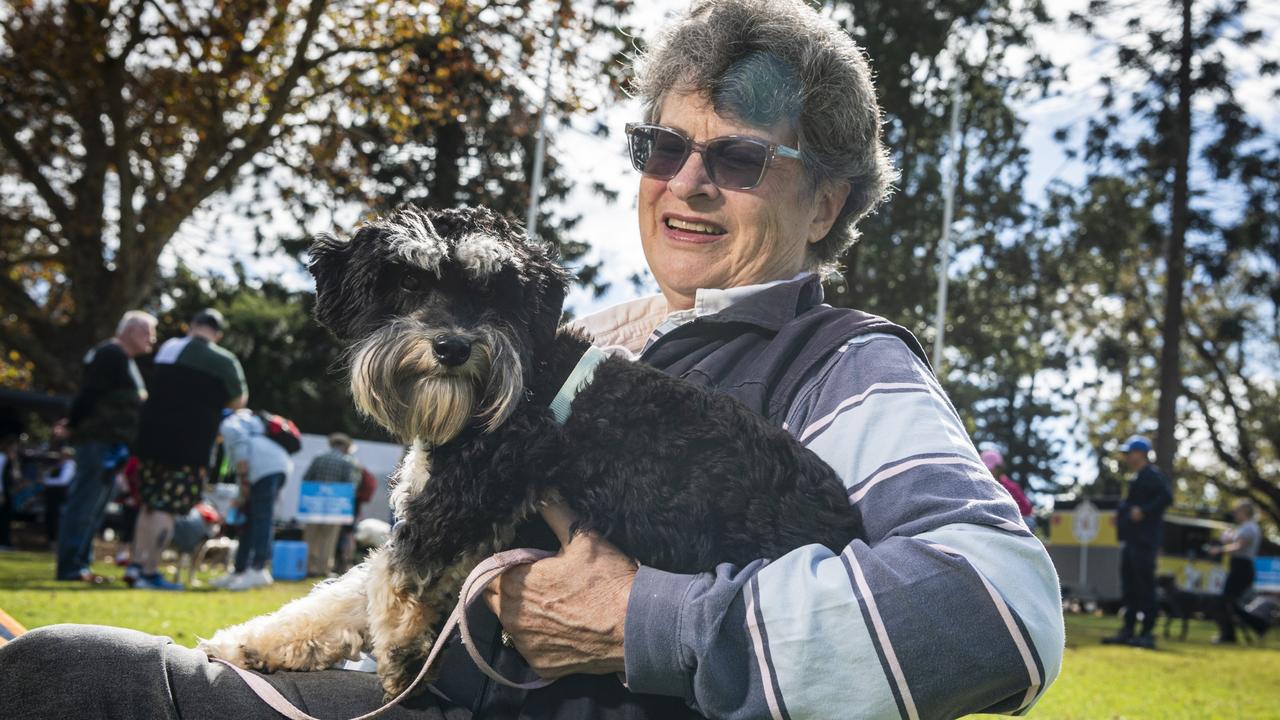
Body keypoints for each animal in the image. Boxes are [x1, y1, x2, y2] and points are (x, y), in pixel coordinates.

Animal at [197, 204, 860, 696]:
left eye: (496, 294)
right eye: (409, 281)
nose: (453, 347)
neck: (527, 377)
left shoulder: (460, 509)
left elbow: (393, 581)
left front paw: (404, 658)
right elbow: (345, 595)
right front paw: (250, 643)